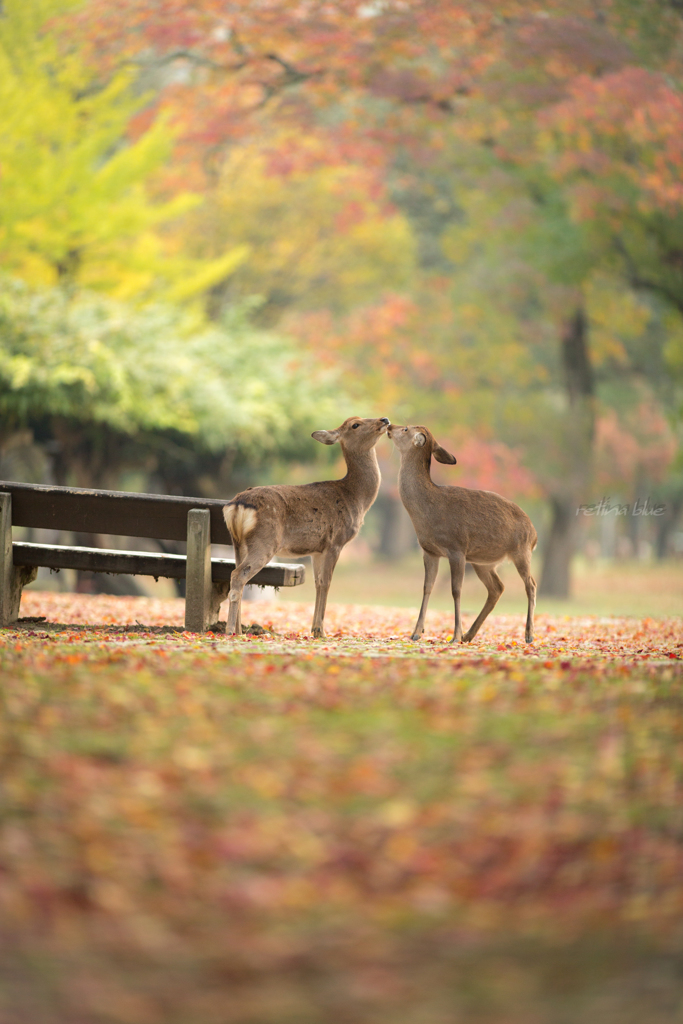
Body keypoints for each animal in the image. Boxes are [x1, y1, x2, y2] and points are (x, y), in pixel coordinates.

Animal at [223, 411, 389, 634]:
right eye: (355, 424)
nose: (384, 420)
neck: (356, 498)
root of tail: (237, 505)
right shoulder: (335, 541)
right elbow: (327, 582)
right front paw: (320, 631)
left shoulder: (316, 549)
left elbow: (318, 583)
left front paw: (314, 629)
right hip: (265, 540)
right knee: (238, 575)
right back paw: (230, 630)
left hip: (237, 542)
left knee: (236, 573)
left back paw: (239, 630)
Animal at [387, 425, 536, 647]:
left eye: (405, 428)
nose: (388, 425)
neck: (427, 511)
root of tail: (535, 534)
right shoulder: (429, 550)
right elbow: (427, 587)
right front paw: (416, 632)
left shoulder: (457, 548)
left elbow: (456, 590)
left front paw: (455, 635)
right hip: (483, 562)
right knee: (497, 588)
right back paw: (470, 635)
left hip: (521, 550)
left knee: (531, 585)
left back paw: (528, 634)